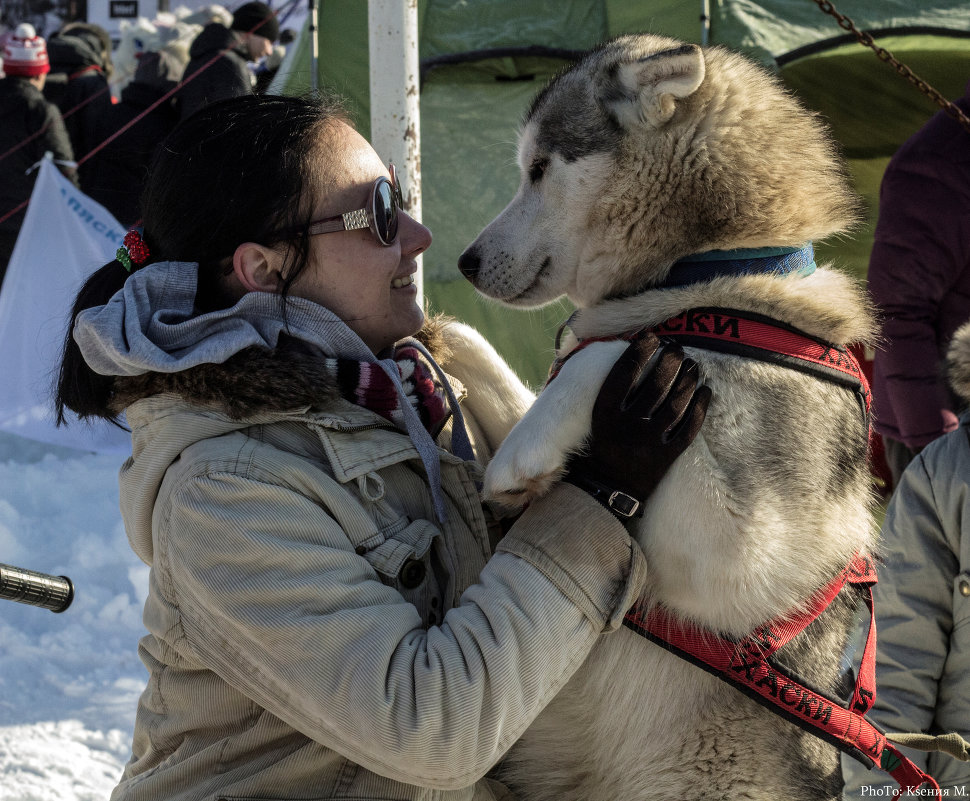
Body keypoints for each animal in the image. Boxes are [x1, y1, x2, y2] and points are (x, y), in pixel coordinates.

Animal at [460, 32, 876, 800]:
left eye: (539, 168)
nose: (466, 261)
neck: (702, 280)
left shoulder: (747, 548)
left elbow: (611, 349)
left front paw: (528, 448)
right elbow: (507, 356)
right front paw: (433, 340)